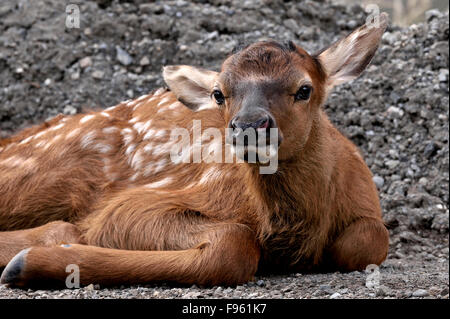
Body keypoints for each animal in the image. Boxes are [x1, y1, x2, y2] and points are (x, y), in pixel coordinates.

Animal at [0, 14, 388, 288]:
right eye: (219, 93)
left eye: (304, 89)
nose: (249, 126)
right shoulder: (132, 204)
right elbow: (233, 244)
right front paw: (29, 263)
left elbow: (371, 239)